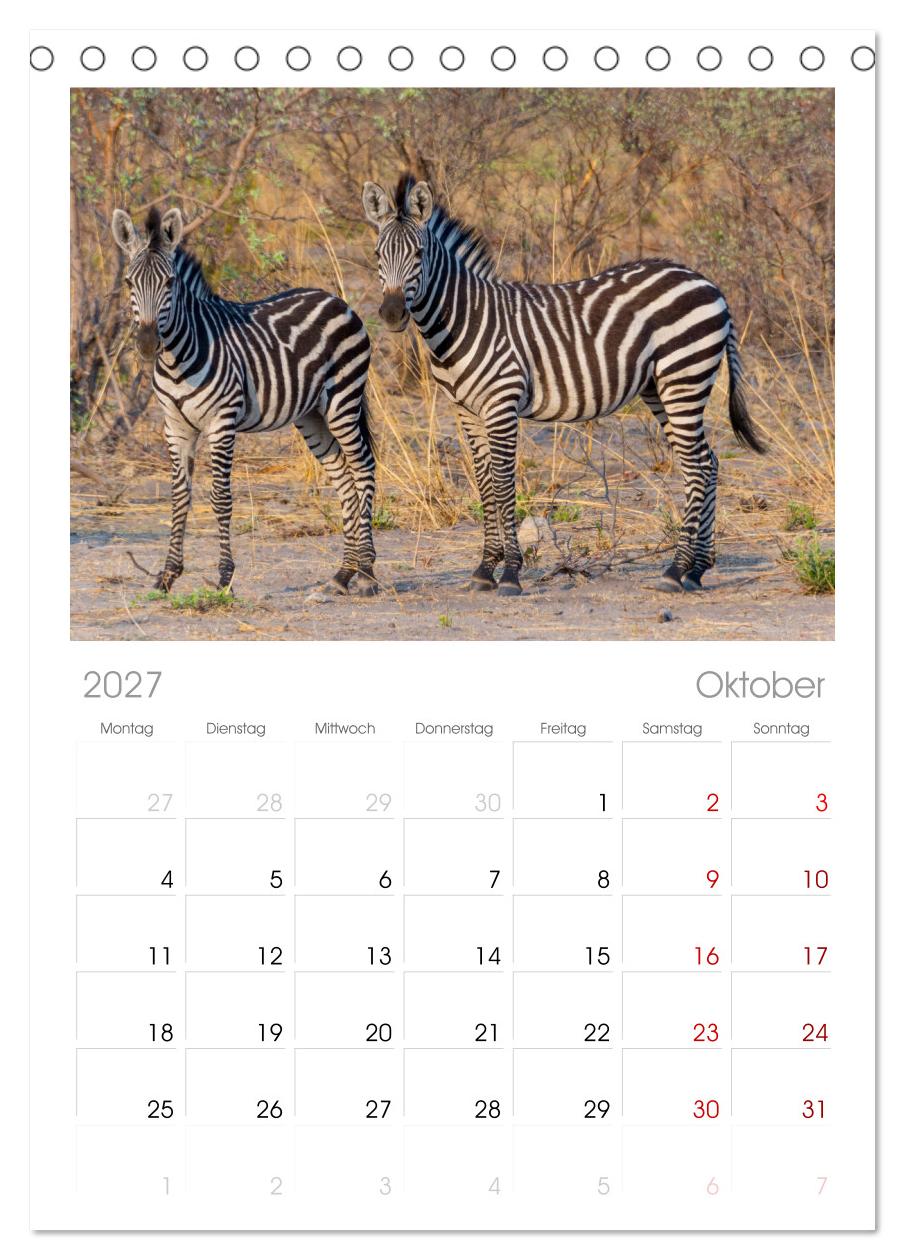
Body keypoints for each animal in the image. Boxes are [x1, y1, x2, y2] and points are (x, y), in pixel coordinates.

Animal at [111, 206, 377, 595]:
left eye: (170, 283)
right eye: (130, 283)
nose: (147, 344)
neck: (177, 359)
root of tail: (335, 299)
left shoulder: (222, 422)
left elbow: (221, 497)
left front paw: (225, 576)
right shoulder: (175, 427)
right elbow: (179, 497)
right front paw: (168, 574)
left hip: (343, 400)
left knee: (363, 468)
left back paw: (368, 573)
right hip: (311, 415)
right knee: (343, 477)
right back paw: (342, 574)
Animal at [362, 175, 765, 596]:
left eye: (419, 254)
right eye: (377, 254)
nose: (392, 314)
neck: (463, 320)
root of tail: (707, 282)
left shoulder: (502, 404)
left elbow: (503, 485)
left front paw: (510, 573)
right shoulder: (466, 411)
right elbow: (484, 486)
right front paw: (485, 568)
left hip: (684, 377)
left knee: (699, 466)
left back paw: (677, 569)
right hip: (662, 388)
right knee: (706, 462)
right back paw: (696, 569)